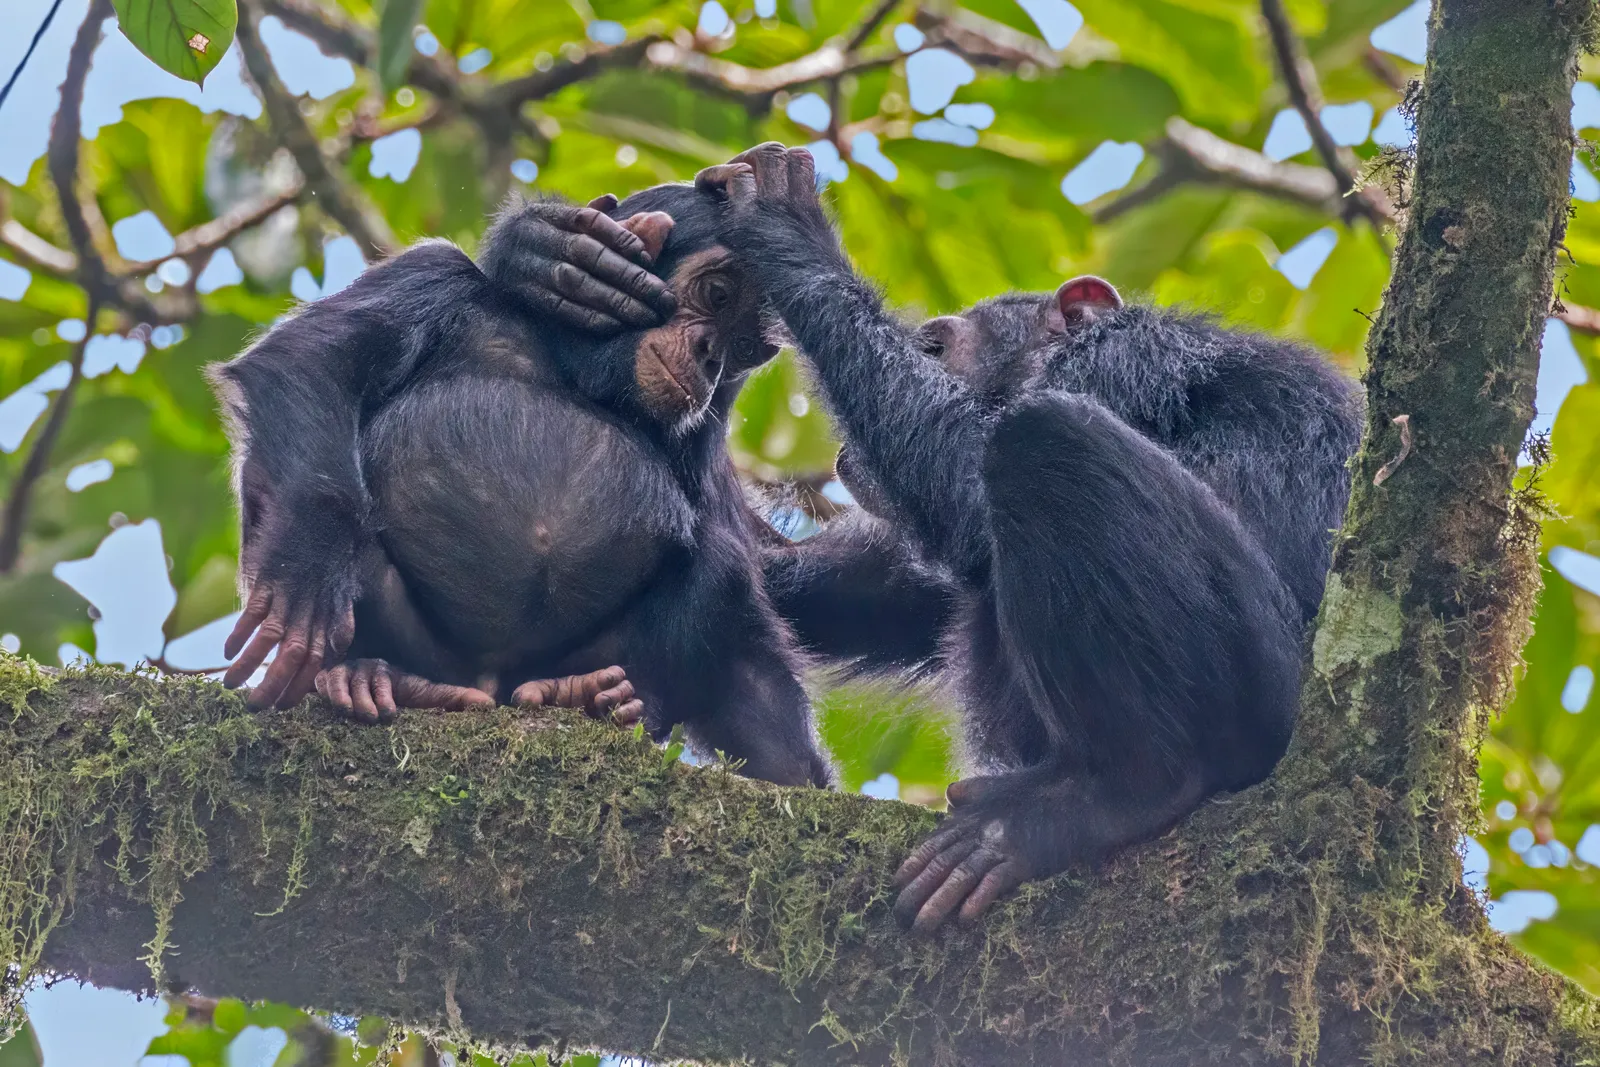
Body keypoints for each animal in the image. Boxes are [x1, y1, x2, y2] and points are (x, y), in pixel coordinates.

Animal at [208, 184, 833, 787]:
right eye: (719, 295)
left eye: (743, 347)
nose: (711, 355)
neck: (579, 367)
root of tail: (490, 684)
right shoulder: (428, 275)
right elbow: (313, 360)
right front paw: (306, 572)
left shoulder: (705, 441)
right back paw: (368, 676)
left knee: (721, 564)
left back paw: (594, 698)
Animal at [694, 144, 1361, 930]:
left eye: (934, 346)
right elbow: (875, 590)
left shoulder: (1121, 368)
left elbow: (967, 483)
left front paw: (787, 227)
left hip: (1265, 699)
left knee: (1044, 438)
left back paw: (1110, 793)